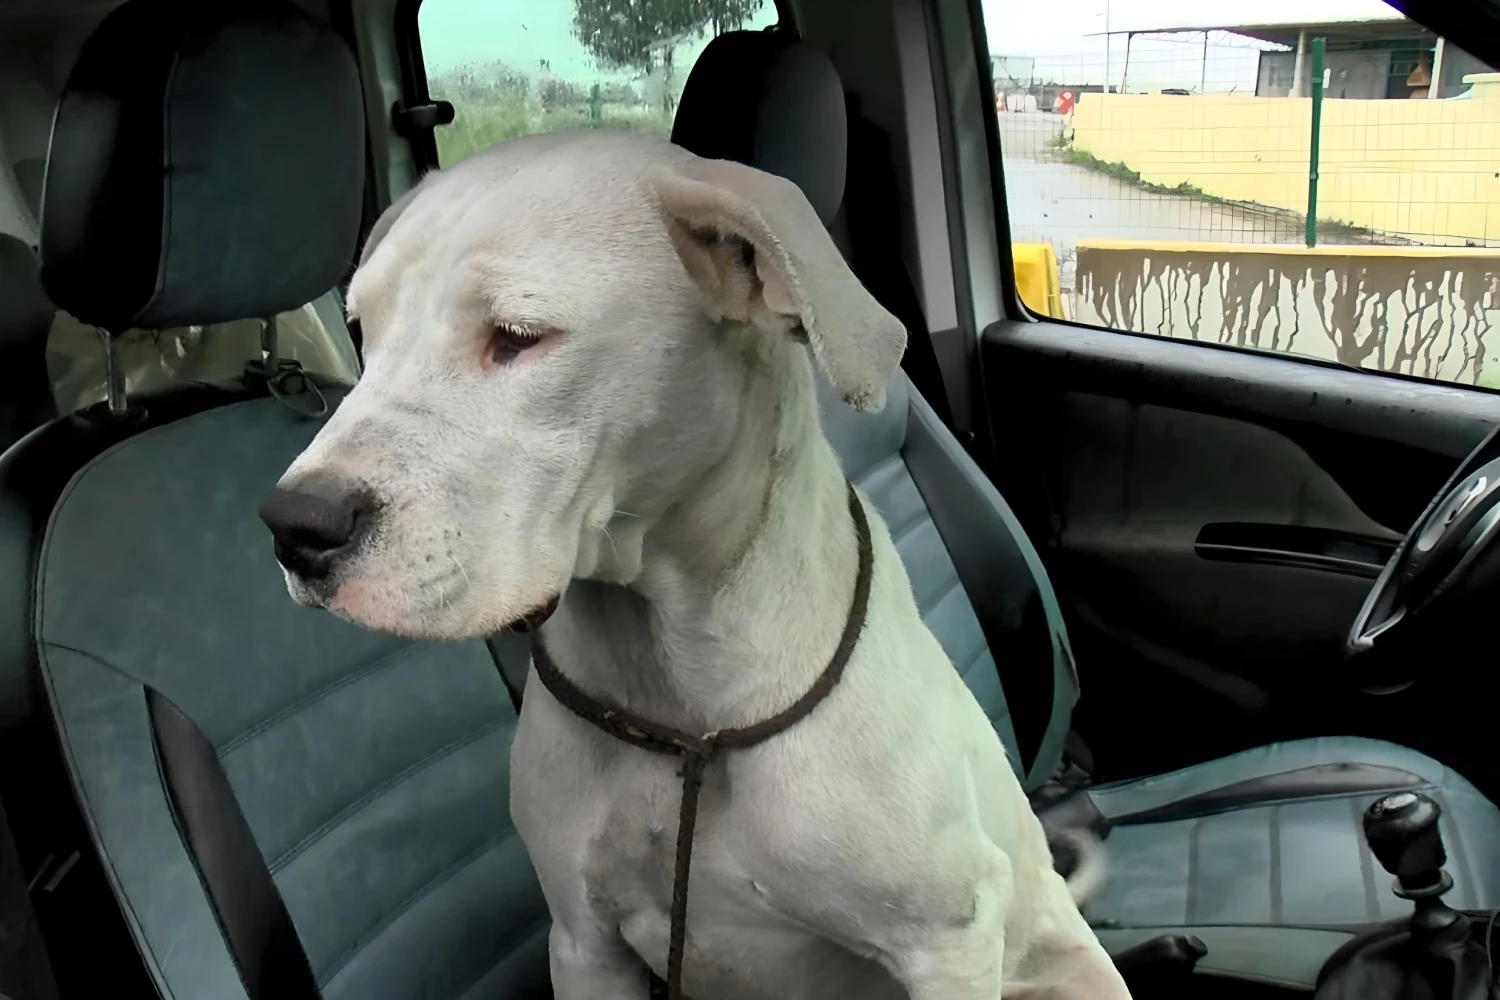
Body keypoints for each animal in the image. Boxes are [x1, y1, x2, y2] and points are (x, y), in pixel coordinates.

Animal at [264, 128, 1128, 995]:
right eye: (363, 330)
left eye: (518, 336)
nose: (295, 526)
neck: (680, 692)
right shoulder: (586, 943)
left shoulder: (946, 940)